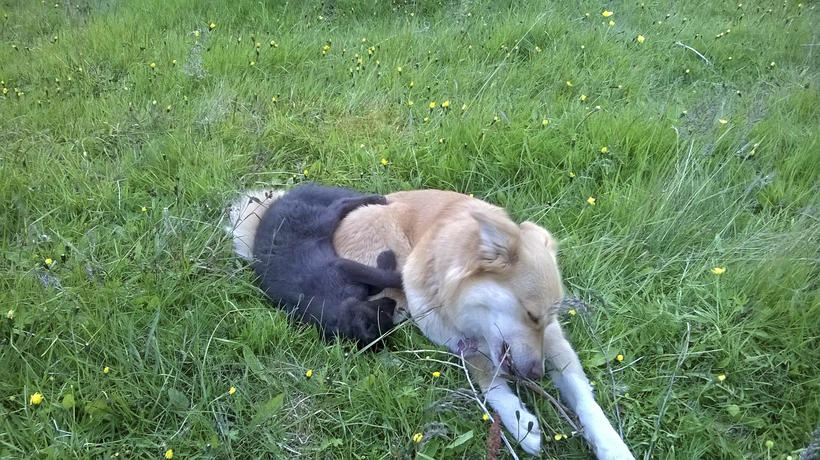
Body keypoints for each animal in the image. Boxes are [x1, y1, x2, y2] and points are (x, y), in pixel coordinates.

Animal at [251, 183, 402, 344]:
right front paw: (392, 266)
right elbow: (381, 280)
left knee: (341, 203)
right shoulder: (344, 268)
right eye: (385, 314)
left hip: (322, 222)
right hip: (322, 222)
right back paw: (376, 199)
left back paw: (376, 199)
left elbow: (379, 279)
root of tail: (280, 200)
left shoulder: (344, 268)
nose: (393, 302)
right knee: (340, 204)